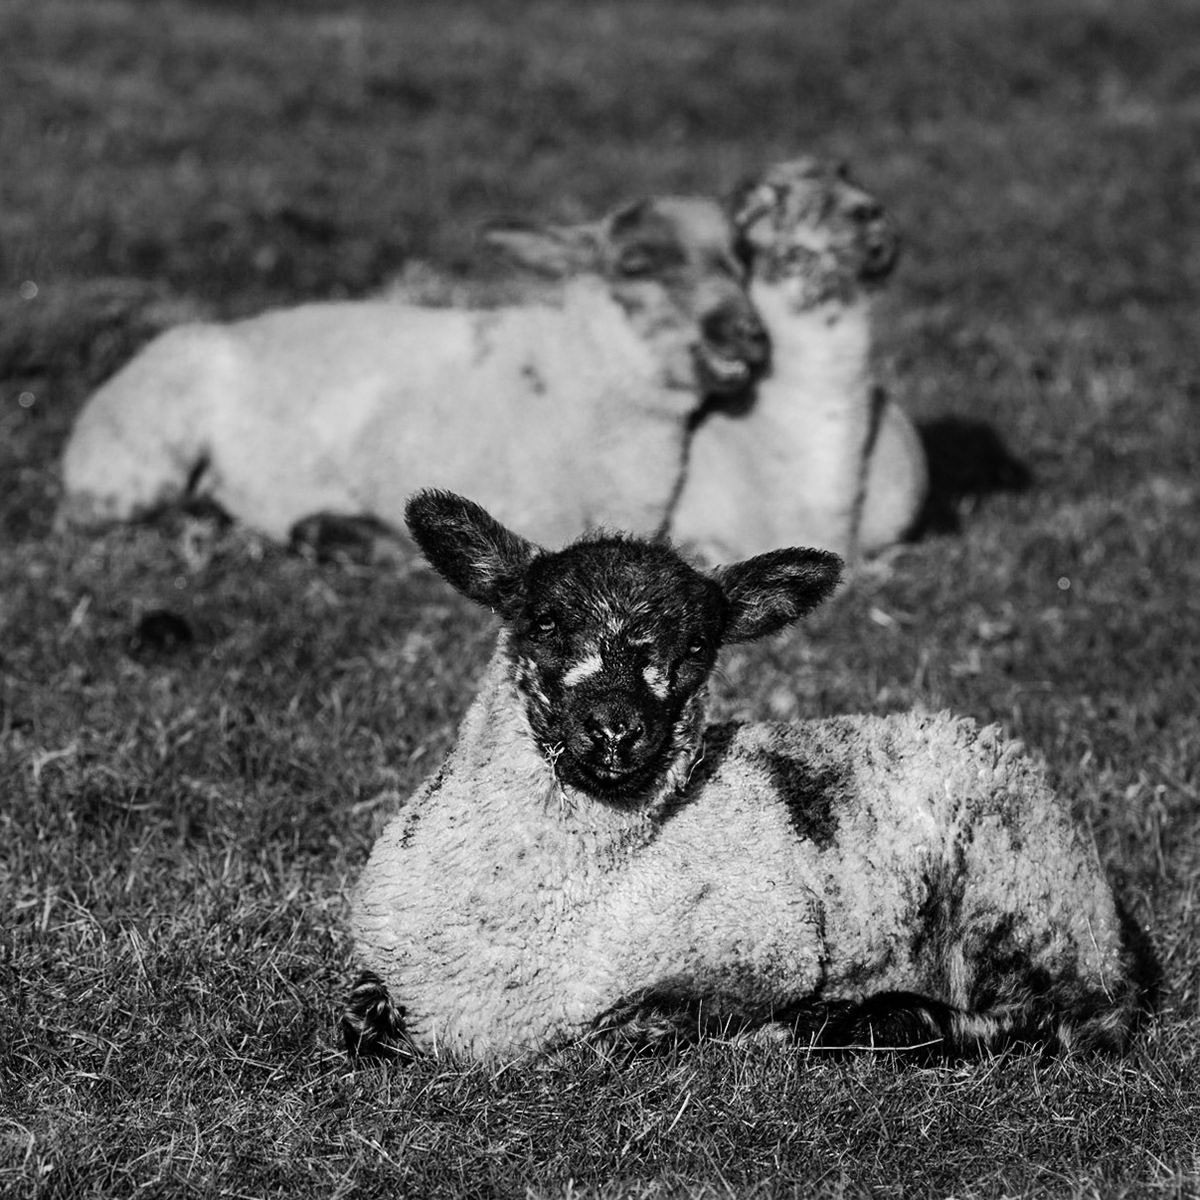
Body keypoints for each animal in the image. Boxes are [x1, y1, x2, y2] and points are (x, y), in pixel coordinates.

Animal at [344, 489, 1137, 1062]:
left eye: (699, 644)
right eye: (543, 622)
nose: (615, 730)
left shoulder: (765, 950)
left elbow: (627, 1032)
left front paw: (788, 1028)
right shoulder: (376, 966)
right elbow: (358, 1027)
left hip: (1025, 908)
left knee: (1057, 1025)